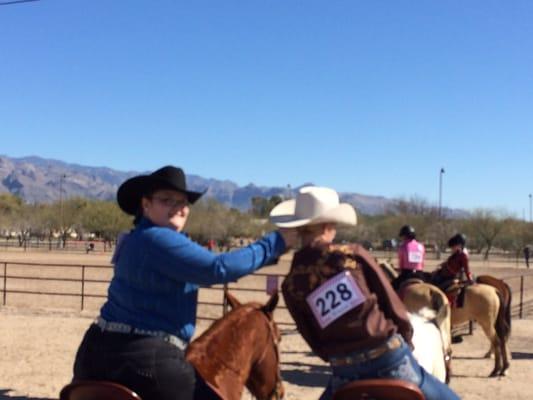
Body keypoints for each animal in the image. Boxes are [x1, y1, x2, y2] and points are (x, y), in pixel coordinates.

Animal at [378, 260, 512, 376]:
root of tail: (495, 290)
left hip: (486, 323)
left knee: (496, 341)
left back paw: (495, 369)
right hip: (494, 322)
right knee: (501, 339)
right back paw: (503, 367)